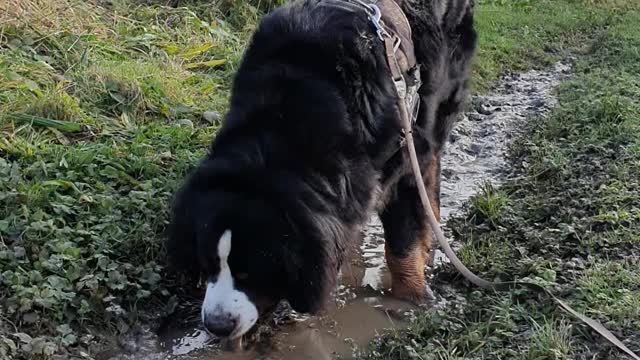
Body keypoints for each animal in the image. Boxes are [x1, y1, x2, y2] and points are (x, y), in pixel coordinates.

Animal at [168, 0, 478, 338]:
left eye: (252, 271)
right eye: (208, 263)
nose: (217, 325)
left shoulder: (402, 156)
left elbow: (402, 245)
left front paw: (410, 300)